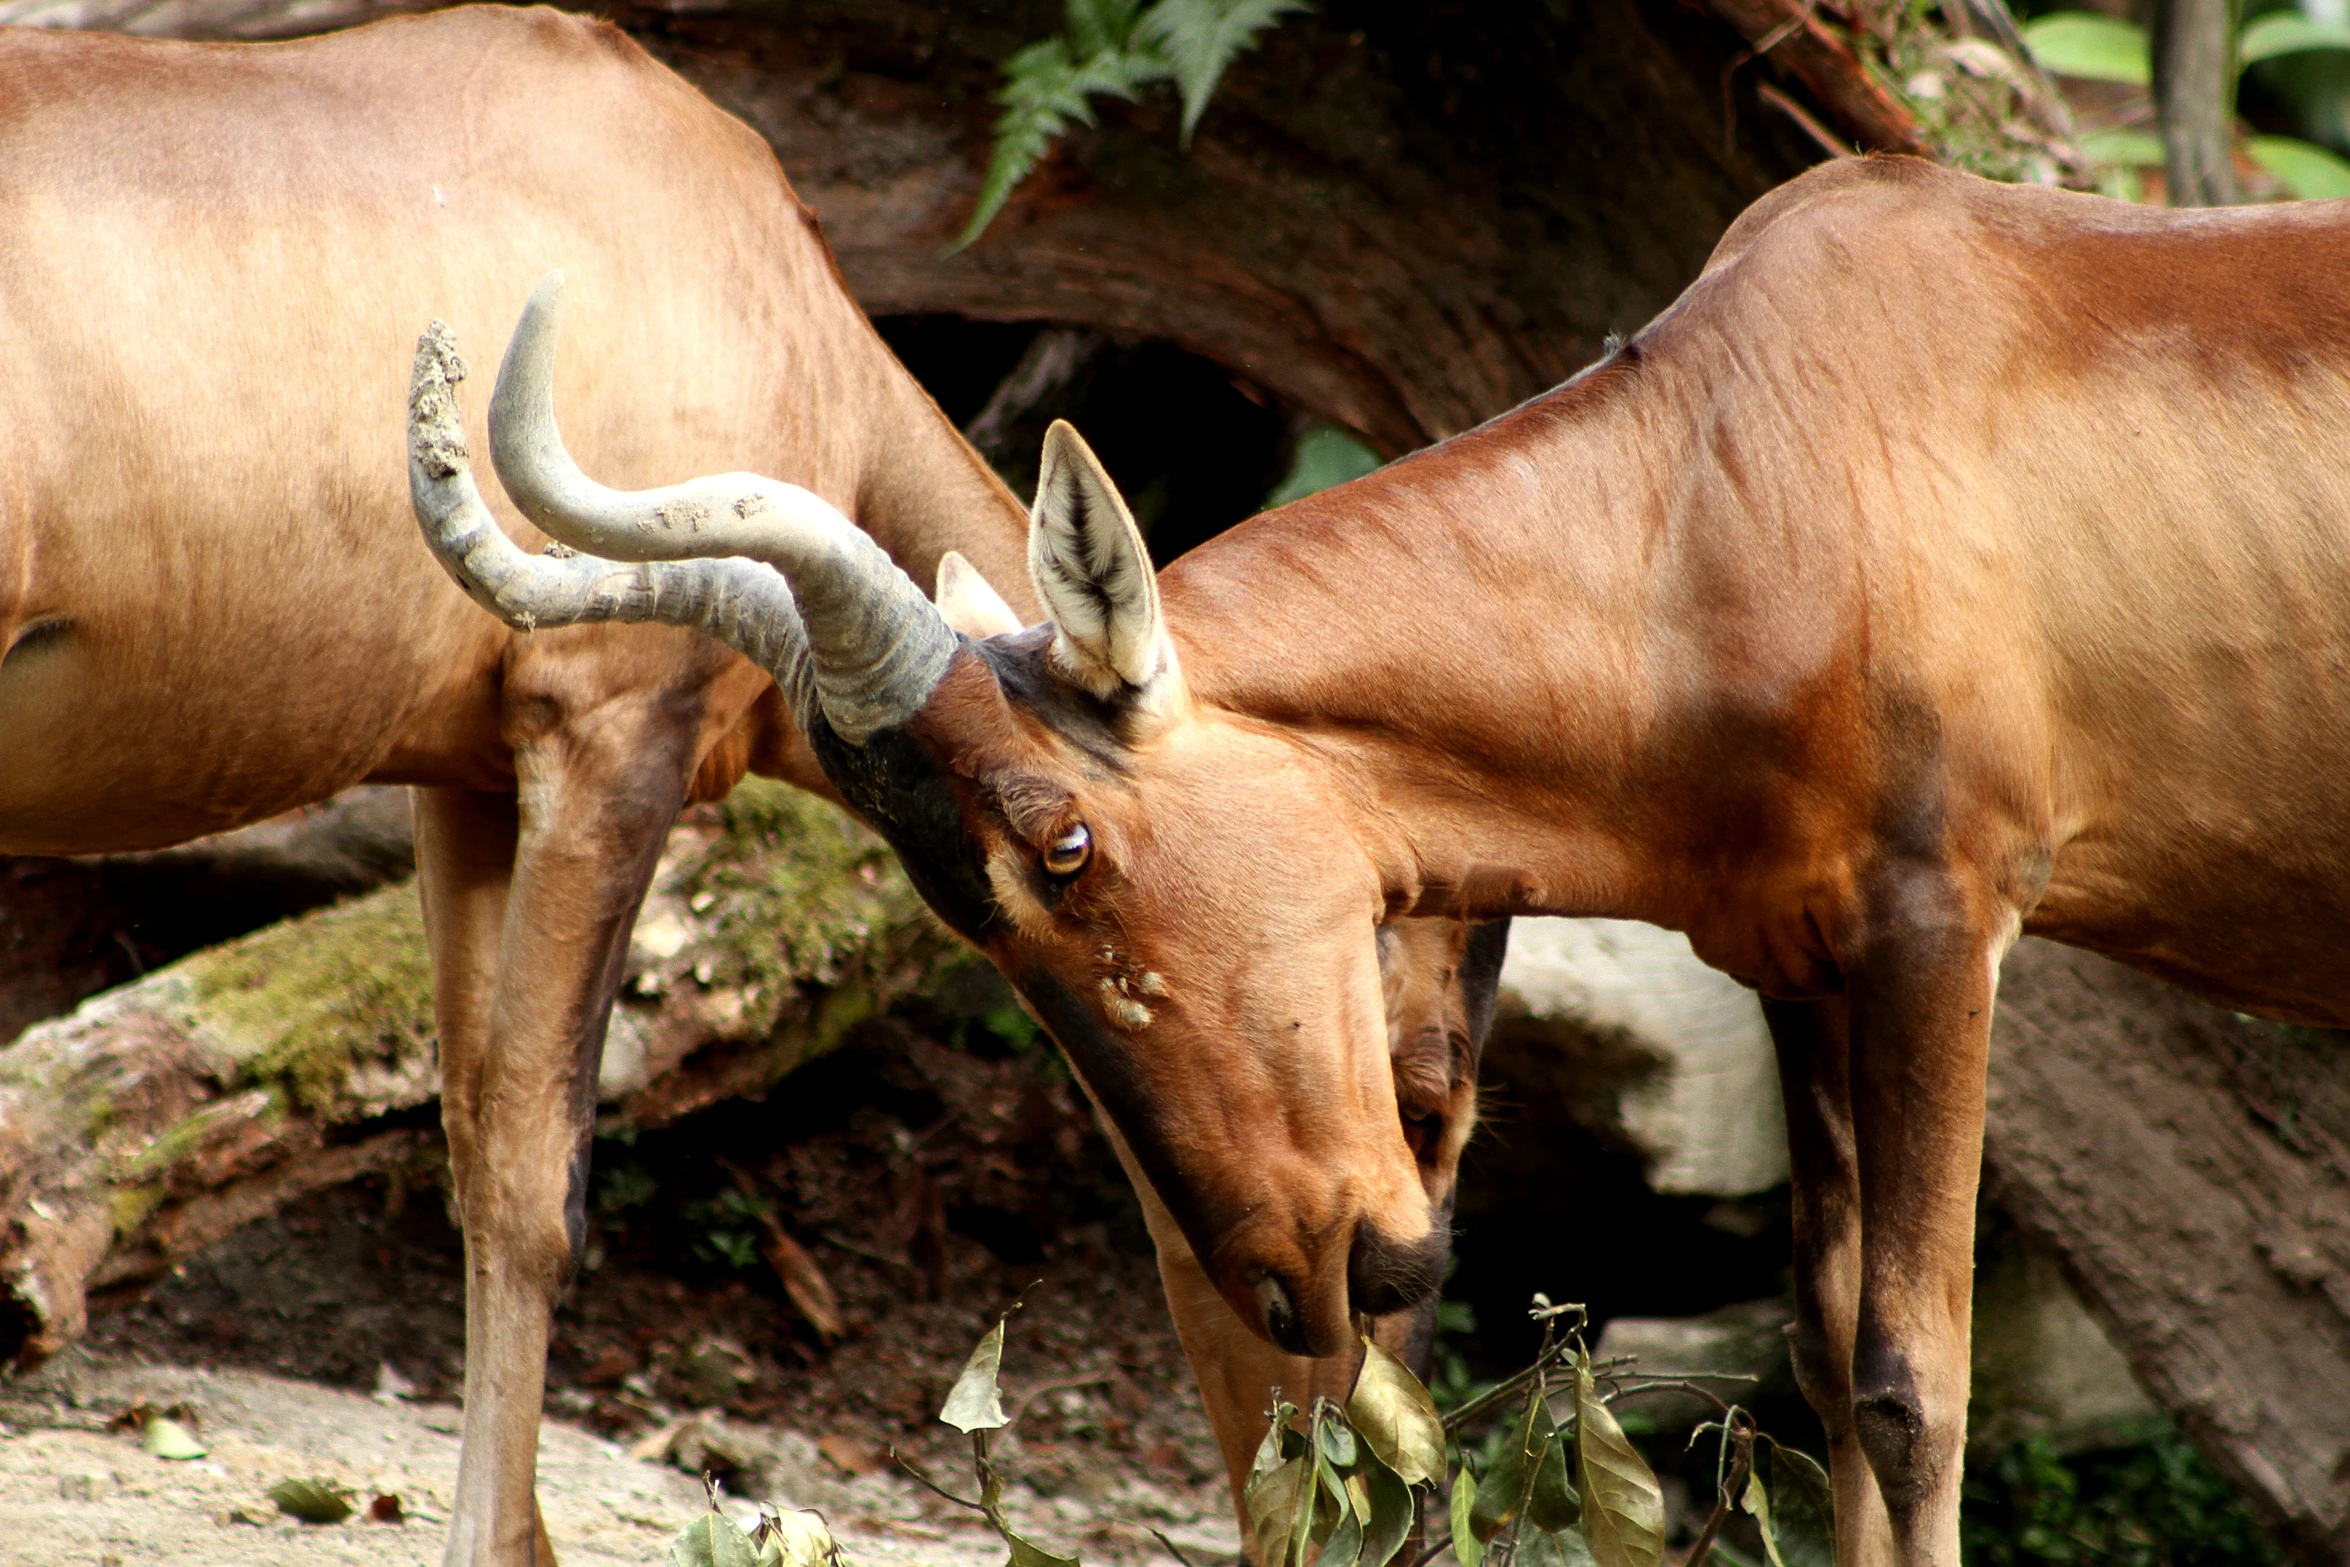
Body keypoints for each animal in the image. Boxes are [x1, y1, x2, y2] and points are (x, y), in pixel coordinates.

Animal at [408, 156, 2350, 1567]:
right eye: (964, 919)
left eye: (1064, 840)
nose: (1312, 1271)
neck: (1732, 469)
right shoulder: (1802, 963)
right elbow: (1816, 1351)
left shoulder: (1947, 921)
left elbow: (1908, 1387)